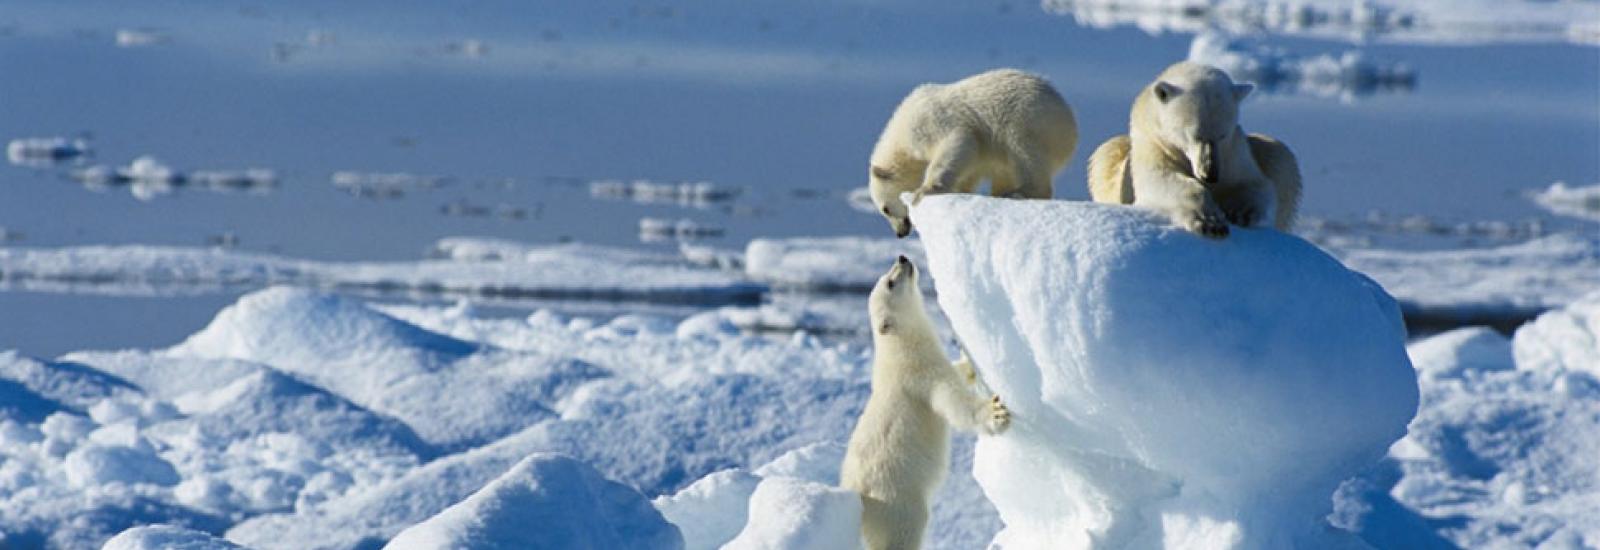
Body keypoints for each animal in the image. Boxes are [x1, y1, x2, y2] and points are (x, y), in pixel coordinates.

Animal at [840, 255, 1011, 550]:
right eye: (890, 281)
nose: (902, 258)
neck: (900, 348)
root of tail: (859, 500)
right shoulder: (920, 377)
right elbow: (953, 403)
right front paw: (996, 413)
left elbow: (956, 373)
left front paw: (968, 363)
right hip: (897, 500)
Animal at [869, 69, 1079, 237]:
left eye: (885, 209)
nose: (900, 233)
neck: (902, 130)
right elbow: (970, 166)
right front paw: (961, 189)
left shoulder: (930, 123)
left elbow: (957, 142)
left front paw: (923, 192)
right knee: (1005, 169)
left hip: (1027, 122)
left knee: (1024, 154)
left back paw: (1018, 192)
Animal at [1086, 61, 1302, 238]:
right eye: (1194, 134)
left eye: (1223, 134)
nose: (1210, 175)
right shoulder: (1155, 145)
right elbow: (1161, 179)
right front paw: (1210, 222)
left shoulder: (1233, 153)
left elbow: (1254, 183)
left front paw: (1241, 212)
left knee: (1280, 156)